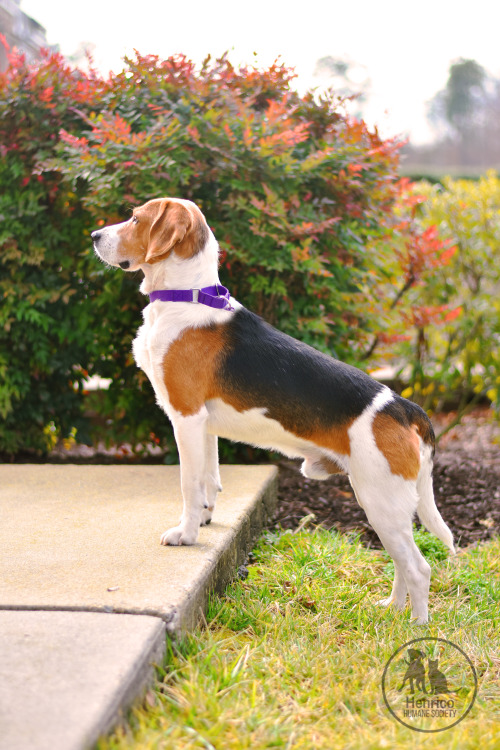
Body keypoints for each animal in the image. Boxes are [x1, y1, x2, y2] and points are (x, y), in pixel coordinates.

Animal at [92, 197, 456, 624]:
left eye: (136, 218)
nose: (94, 235)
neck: (188, 295)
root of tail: (404, 405)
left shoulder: (186, 416)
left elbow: (188, 483)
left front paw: (186, 534)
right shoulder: (204, 425)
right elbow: (209, 478)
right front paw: (205, 518)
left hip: (382, 500)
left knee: (419, 567)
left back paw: (416, 625)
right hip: (380, 504)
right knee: (402, 561)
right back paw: (392, 608)